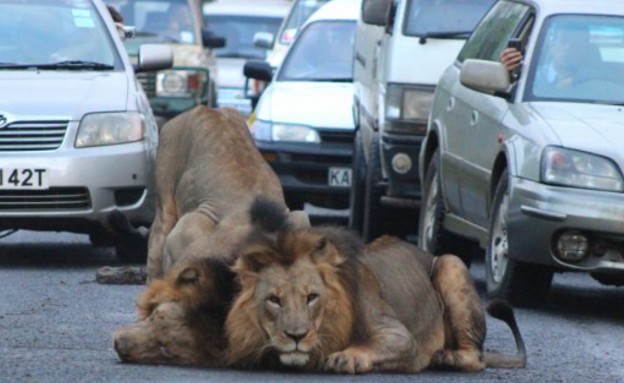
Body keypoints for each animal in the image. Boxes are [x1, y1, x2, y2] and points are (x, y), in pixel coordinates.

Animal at [224, 198, 528, 376]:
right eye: (274, 300)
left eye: (311, 297)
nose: (296, 336)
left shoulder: (401, 336)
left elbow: (375, 344)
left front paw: (346, 358)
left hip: (450, 263)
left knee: (477, 357)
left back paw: (447, 357)